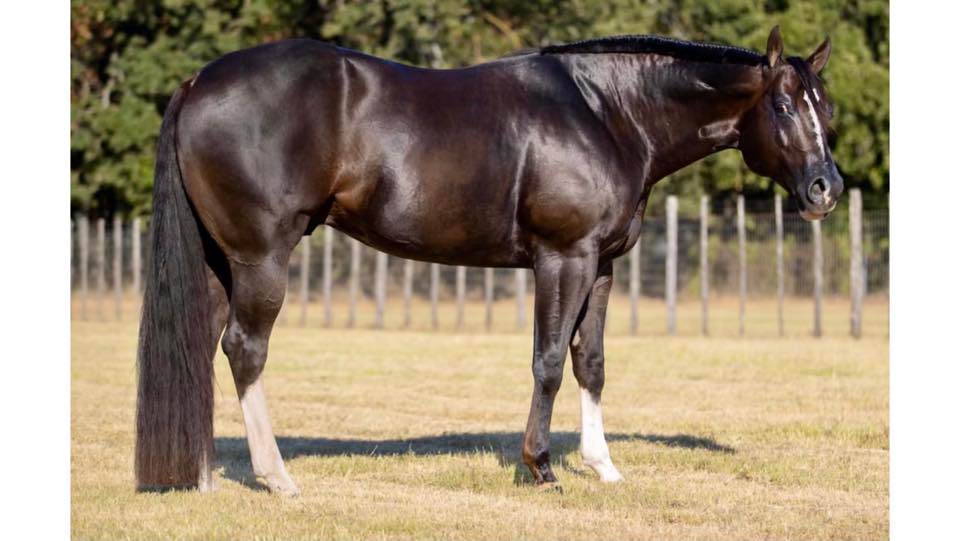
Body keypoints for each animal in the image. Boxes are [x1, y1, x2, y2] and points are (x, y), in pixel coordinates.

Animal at [135, 26, 842, 495]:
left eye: (825, 109)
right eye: (784, 105)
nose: (824, 189)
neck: (607, 112)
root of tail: (199, 82)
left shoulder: (603, 265)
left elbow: (592, 362)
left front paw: (603, 466)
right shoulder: (563, 258)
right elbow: (550, 361)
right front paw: (542, 467)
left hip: (221, 263)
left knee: (203, 346)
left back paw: (202, 474)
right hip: (262, 258)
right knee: (245, 349)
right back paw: (276, 476)